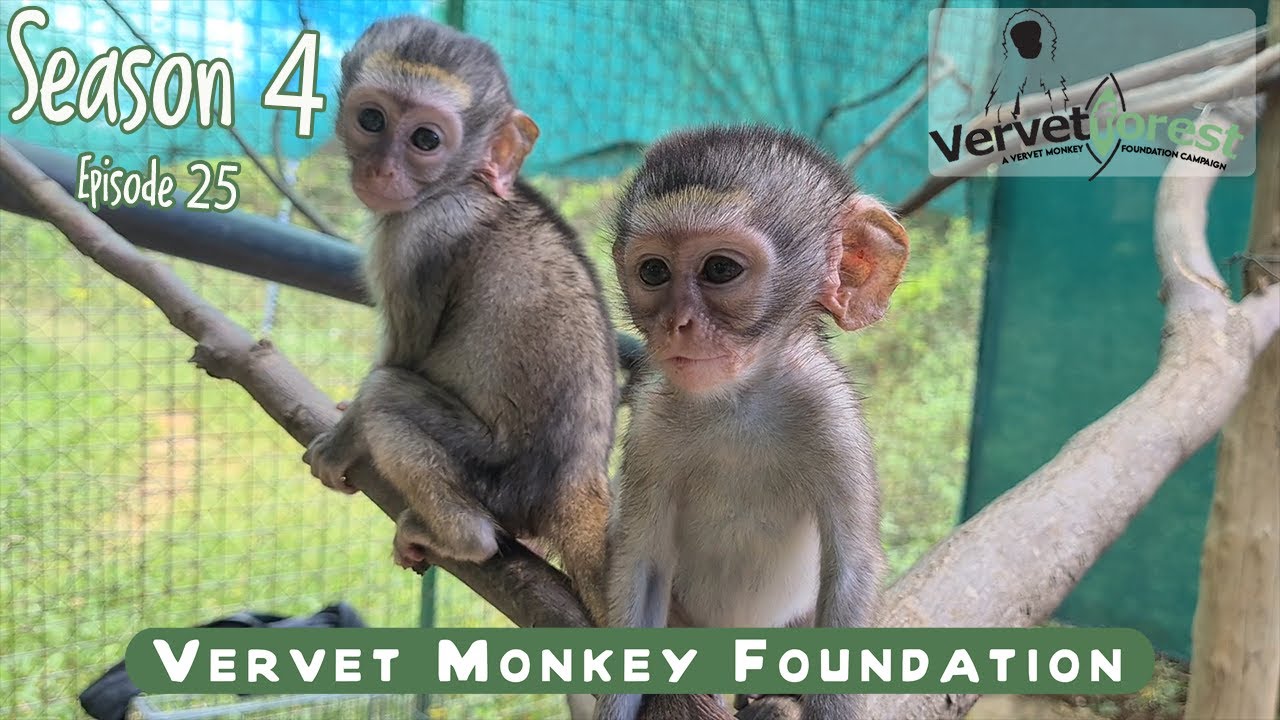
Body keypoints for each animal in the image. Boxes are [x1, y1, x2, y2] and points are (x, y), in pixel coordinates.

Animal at [301, 16, 617, 626]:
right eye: (372, 120)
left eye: (426, 140)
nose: (383, 169)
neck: (459, 183)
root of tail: (579, 482)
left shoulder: (421, 235)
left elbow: (402, 355)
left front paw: (342, 444)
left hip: (494, 475)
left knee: (387, 394)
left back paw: (463, 538)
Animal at [594, 126, 908, 720]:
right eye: (653, 272)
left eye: (720, 269)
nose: (677, 324)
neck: (737, 404)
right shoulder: (650, 425)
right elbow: (641, 564)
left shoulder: (832, 414)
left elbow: (851, 568)